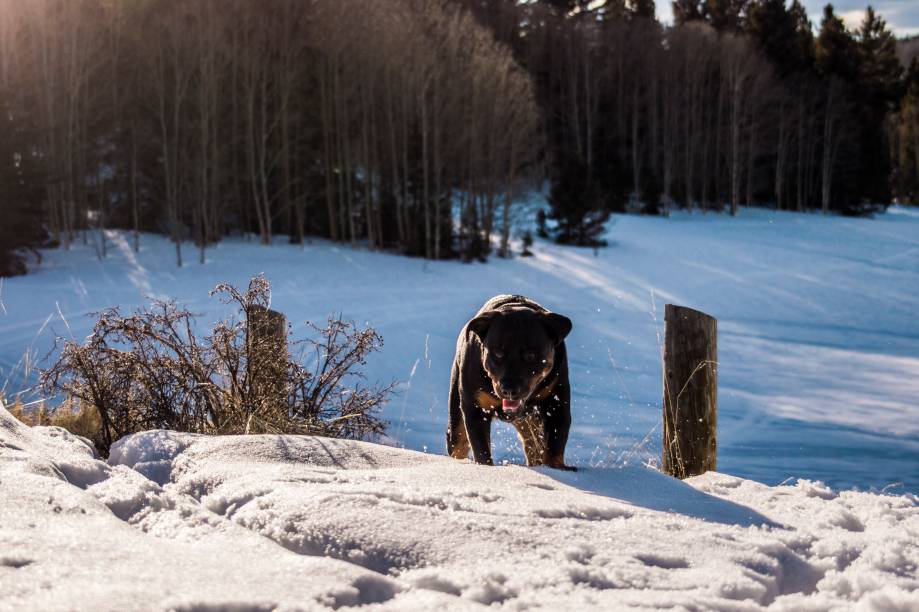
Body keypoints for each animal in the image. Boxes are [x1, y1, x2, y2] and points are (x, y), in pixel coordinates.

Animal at [448, 294, 576, 470]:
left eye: (530, 355)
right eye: (498, 353)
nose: (509, 389)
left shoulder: (556, 402)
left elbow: (555, 446)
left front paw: (555, 468)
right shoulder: (475, 406)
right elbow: (481, 449)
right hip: (457, 415)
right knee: (458, 442)